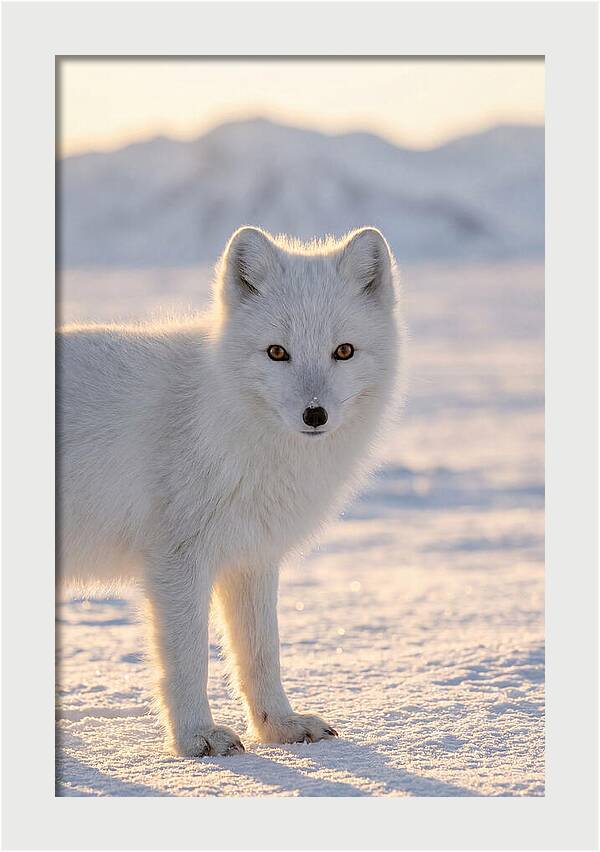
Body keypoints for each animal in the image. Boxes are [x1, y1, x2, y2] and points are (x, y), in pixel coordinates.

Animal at [57, 225, 404, 757]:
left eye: (343, 351)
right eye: (277, 352)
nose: (315, 414)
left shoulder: (251, 556)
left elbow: (262, 653)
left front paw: (279, 727)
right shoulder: (177, 561)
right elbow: (188, 660)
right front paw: (195, 739)